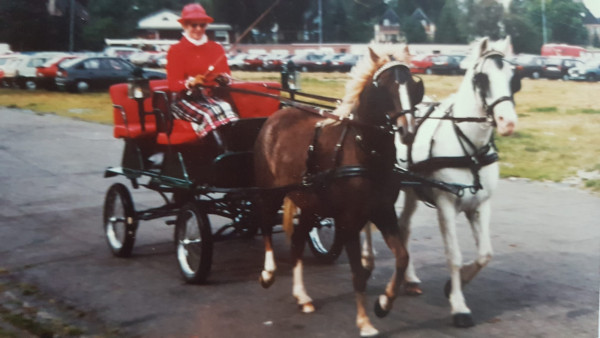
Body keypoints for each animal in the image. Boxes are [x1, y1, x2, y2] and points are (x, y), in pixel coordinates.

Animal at [253, 45, 426, 338]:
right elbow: (357, 273)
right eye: (385, 86)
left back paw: (302, 296)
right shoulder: (348, 221)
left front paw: (384, 303)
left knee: (297, 241)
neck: (365, 151)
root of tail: (279, 114)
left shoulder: (383, 212)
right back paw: (268, 272)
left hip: (310, 205)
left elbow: (402, 258)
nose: (408, 130)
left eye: (413, 86)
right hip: (270, 191)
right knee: (265, 224)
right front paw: (364, 322)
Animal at [360, 36, 520, 328]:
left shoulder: (480, 205)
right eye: (481, 79)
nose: (508, 123)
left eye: (513, 78)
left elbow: (485, 254)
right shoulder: (446, 205)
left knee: (404, 227)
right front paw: (459, 306)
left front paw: (453, 287)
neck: (470, 150)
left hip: (410, 191)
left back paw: (409, 279)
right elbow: (453, 256)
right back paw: (367, 259)